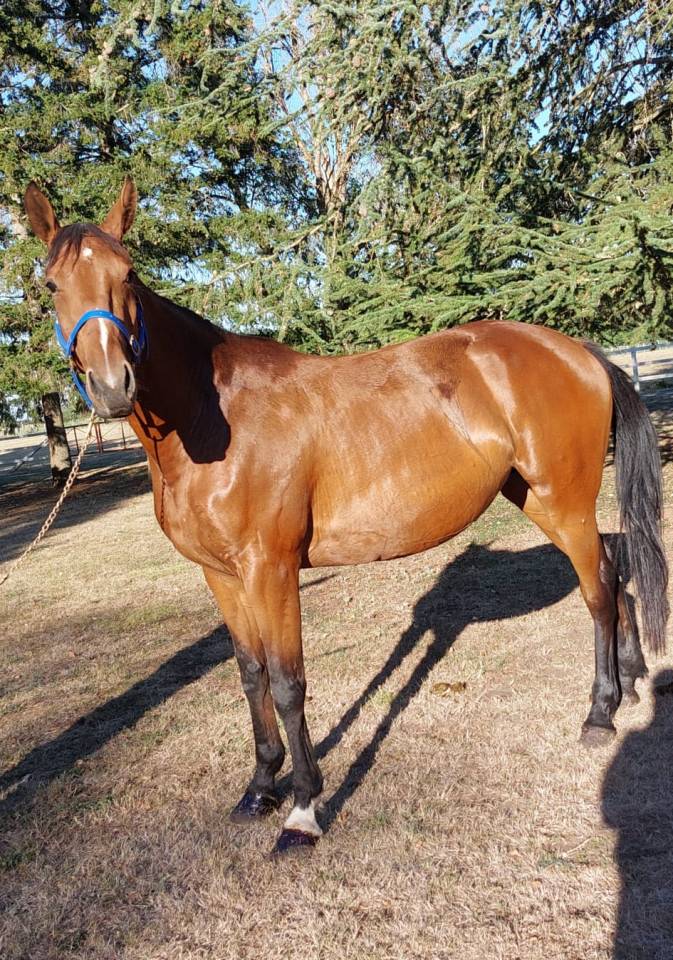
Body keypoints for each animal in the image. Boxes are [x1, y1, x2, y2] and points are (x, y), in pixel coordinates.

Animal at [24, 178, 668, 856]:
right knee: (613, 570)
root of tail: (578, 351)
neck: (213, 416)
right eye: (51, 285)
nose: (111, 385)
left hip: (563, 501)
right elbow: (250, 673)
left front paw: (303, 809)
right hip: (540, 500)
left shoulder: (271, 569)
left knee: (597, 591)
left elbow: (287, 682)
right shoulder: (221, 576)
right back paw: (629, 682)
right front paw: (259, 788)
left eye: (128, 273)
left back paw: (599, 713)